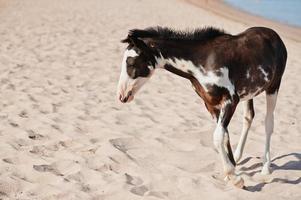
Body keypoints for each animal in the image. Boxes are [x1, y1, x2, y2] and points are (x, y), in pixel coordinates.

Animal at [116, 26, 286, 188]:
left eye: (131, 63)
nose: (122, 96)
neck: (203, 61)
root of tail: (274, 35)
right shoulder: (211, 105)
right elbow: (224, 135)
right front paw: (232, 172)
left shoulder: (231, 100)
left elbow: (218, 136)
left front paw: (234, 178)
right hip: (249, 94)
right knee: (248, 117)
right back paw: (238, 157)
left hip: (273, 87)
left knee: (268, 123)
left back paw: (266, 167)